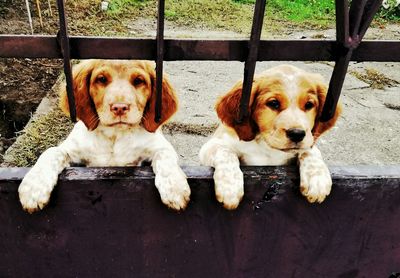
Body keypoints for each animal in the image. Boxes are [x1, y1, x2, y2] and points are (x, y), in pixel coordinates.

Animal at [19, 59, 191, 213]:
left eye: (138, 81)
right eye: (101, 79)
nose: (119, 107)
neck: (115, 135)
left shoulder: (158, 146)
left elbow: (165, 155)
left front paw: (175, 188)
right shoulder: (72, 151)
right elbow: (51, 152)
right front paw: (33, 188)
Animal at [200, 64, 340, 208]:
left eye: (309, 105)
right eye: (273, 103)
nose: (297, 134)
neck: (267, 146)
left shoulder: (308, 140)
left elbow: (310, 150)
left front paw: (317, 179)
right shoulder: (212, 145)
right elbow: (225, 152)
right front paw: (230, 186)